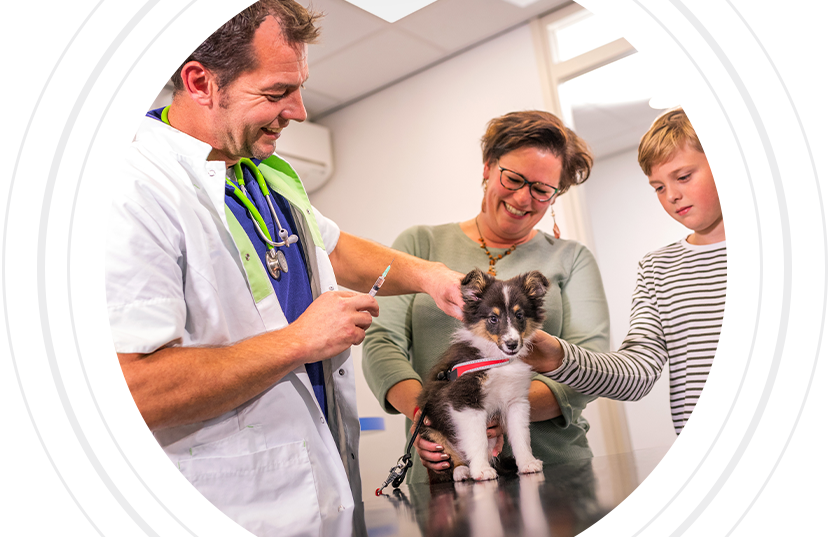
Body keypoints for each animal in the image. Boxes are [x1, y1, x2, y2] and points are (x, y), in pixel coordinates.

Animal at [416, 268, 552, 482]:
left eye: (519, 315)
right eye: (493, 318)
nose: (512, 344)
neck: (497, 360)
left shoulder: (516, 402)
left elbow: (521, 436)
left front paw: (527, 463)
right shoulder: (465, 400)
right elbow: (477, 438)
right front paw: (481, 470)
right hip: (429, 429)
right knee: (452, 457)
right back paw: (463, 471)